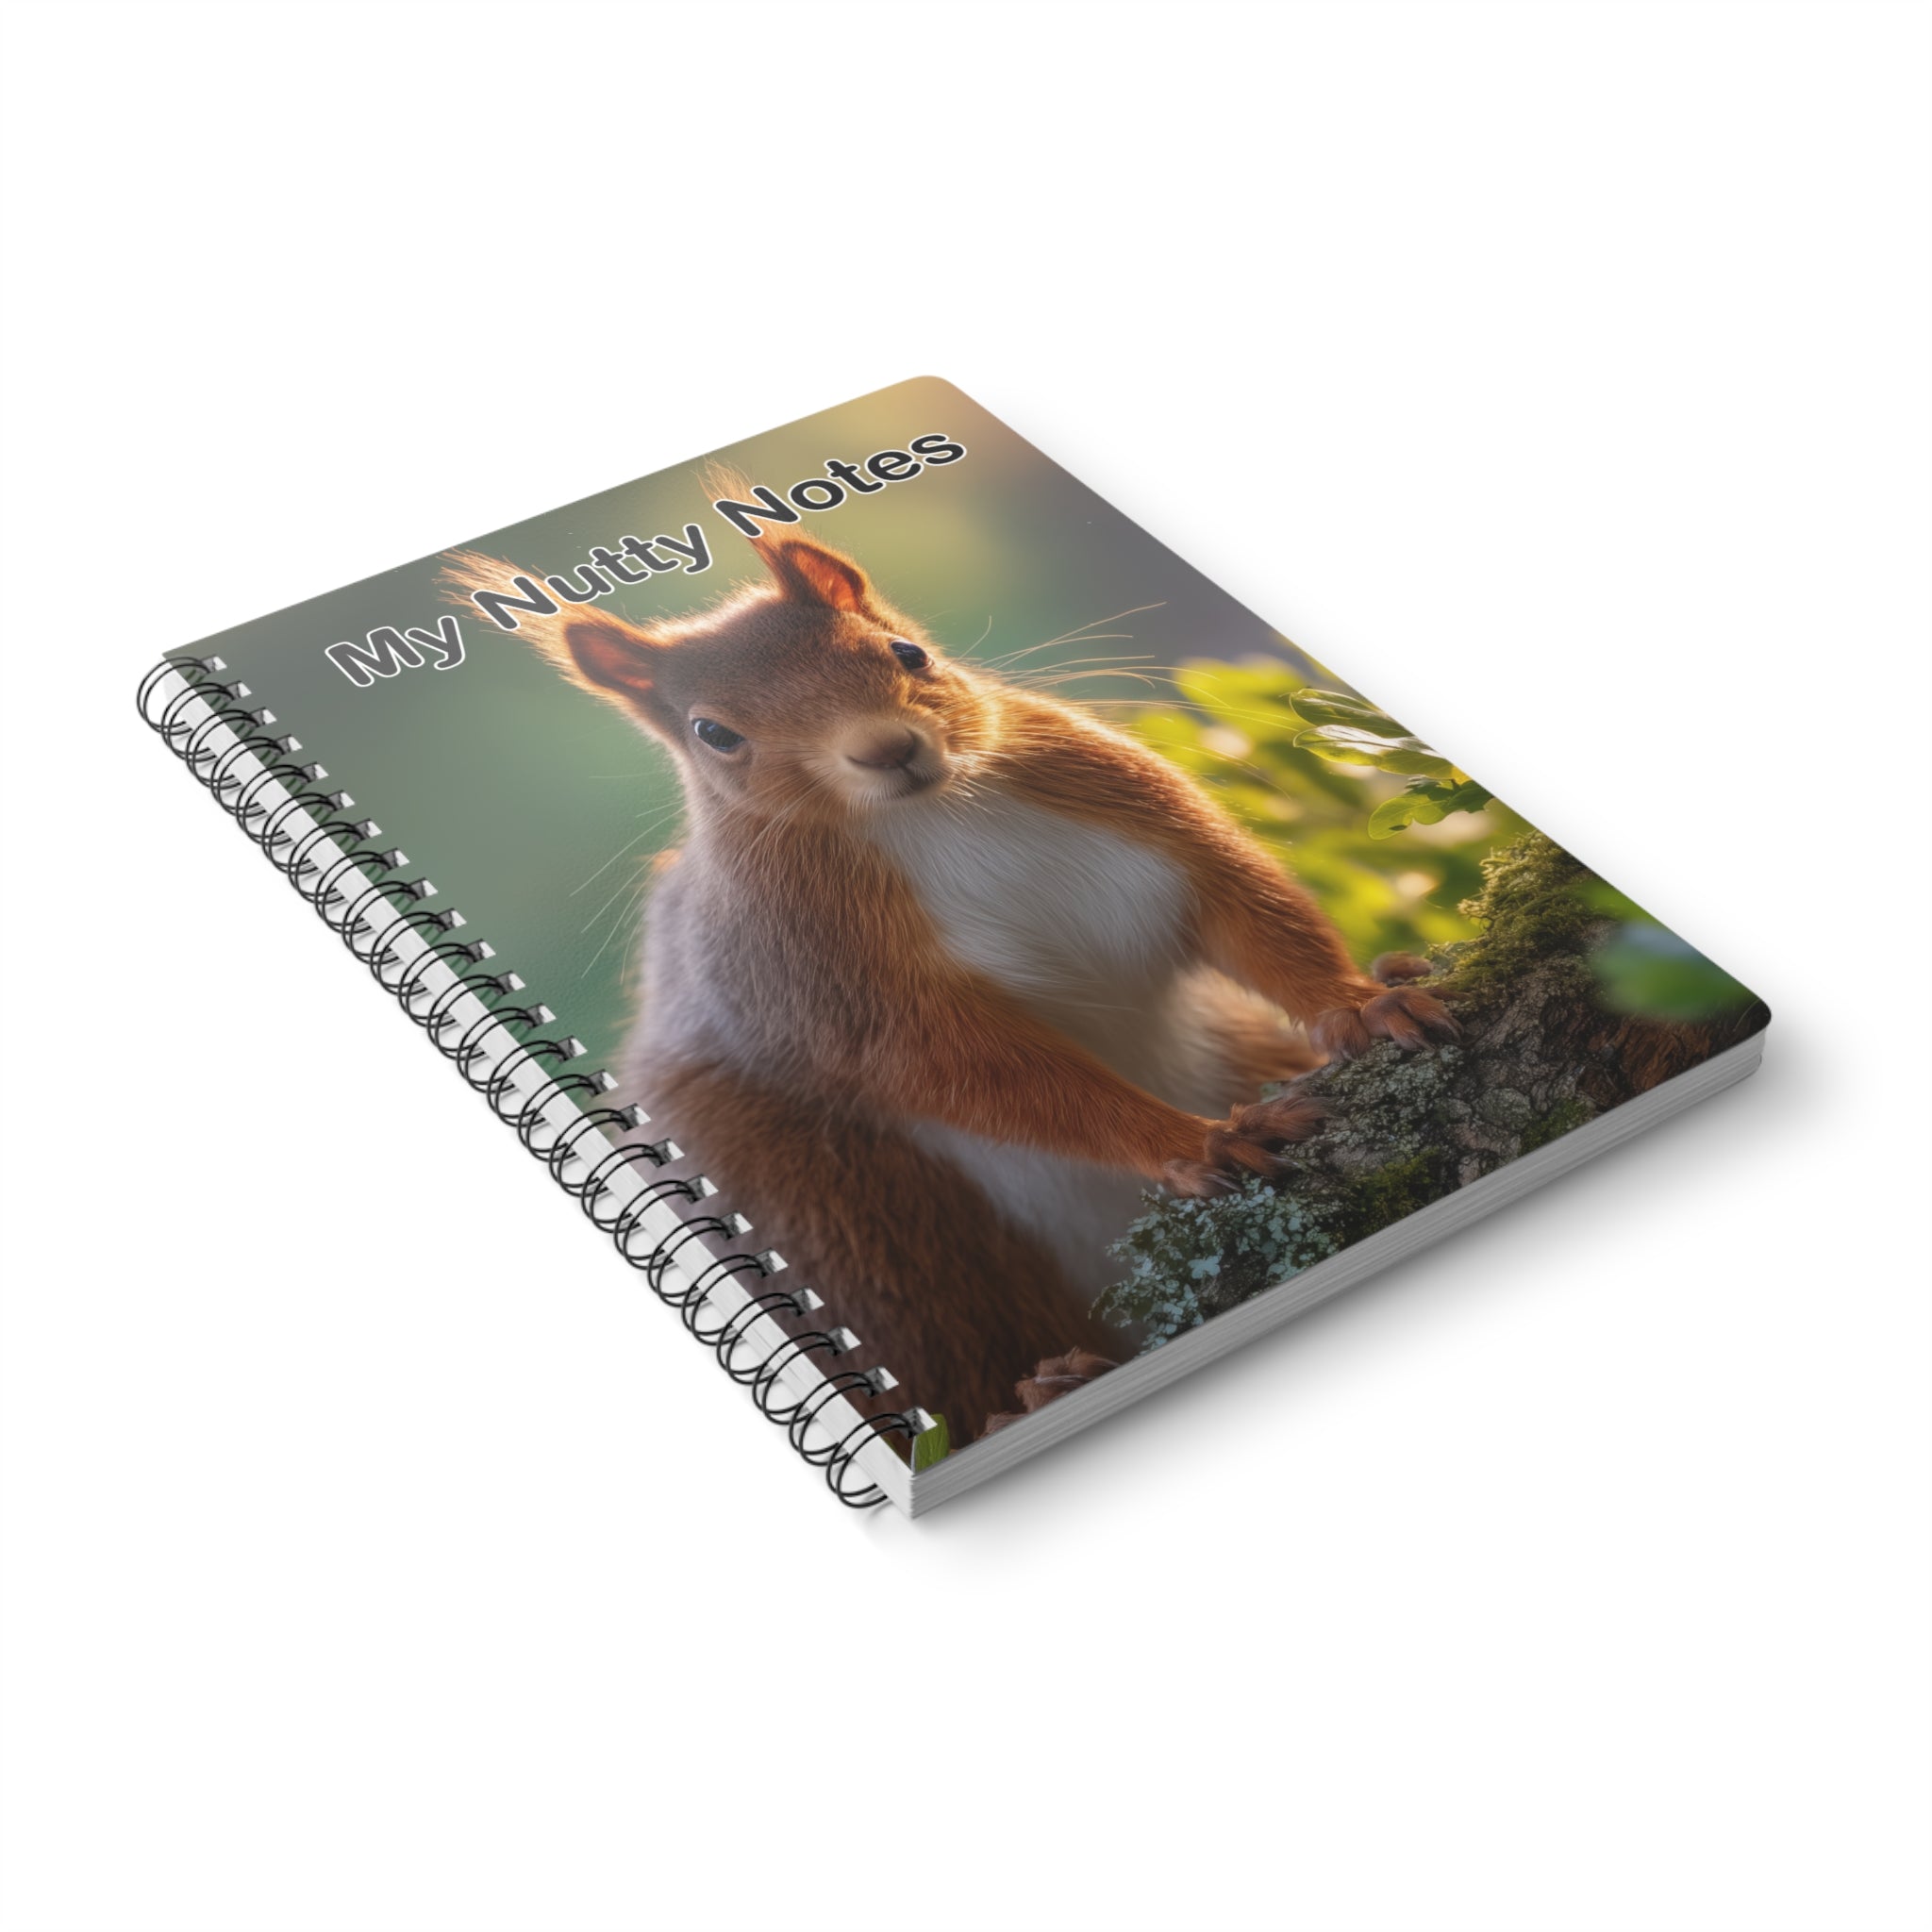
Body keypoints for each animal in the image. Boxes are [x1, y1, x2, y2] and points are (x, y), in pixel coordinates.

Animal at [440, 532, 1456, 1443]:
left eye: (906, 653)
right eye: (713, 733)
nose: (887, 748)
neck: (931, 817)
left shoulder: (1132, 812)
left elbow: (1249, 908)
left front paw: (1359, 1001)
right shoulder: (821, 978)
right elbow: (966, 1069)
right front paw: (1194, 1140)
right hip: (839, 1210)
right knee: (936, 1343)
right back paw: (1034, 1393)